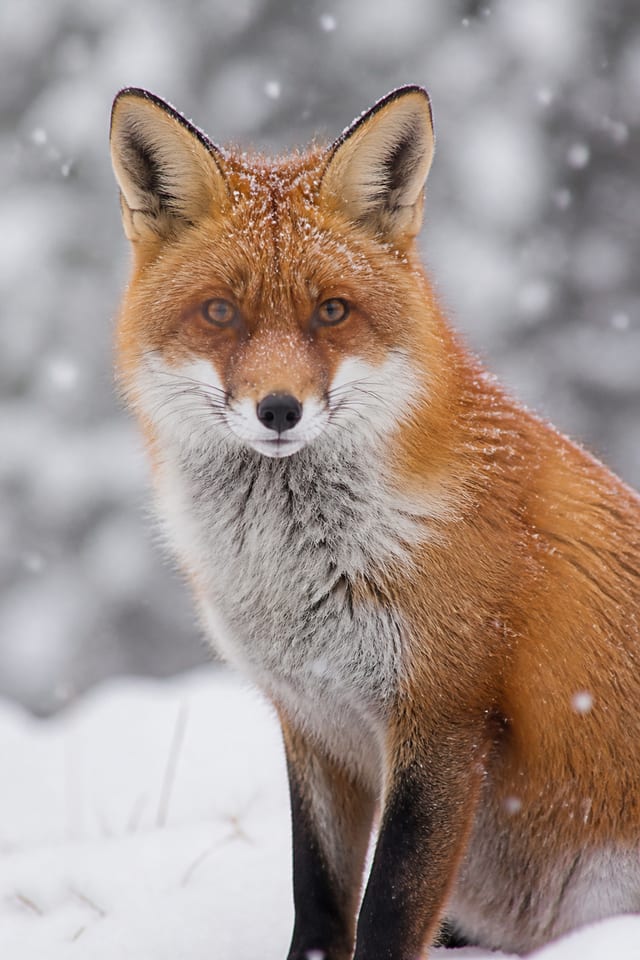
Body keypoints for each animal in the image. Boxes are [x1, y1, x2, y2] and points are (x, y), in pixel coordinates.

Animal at [109, 84, 640, 959]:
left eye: (332, 311)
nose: (279, 410)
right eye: (220, 312)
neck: (297, 578)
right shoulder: (313, 725)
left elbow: (388, 910)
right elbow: (321, 900)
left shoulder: (443, 720)